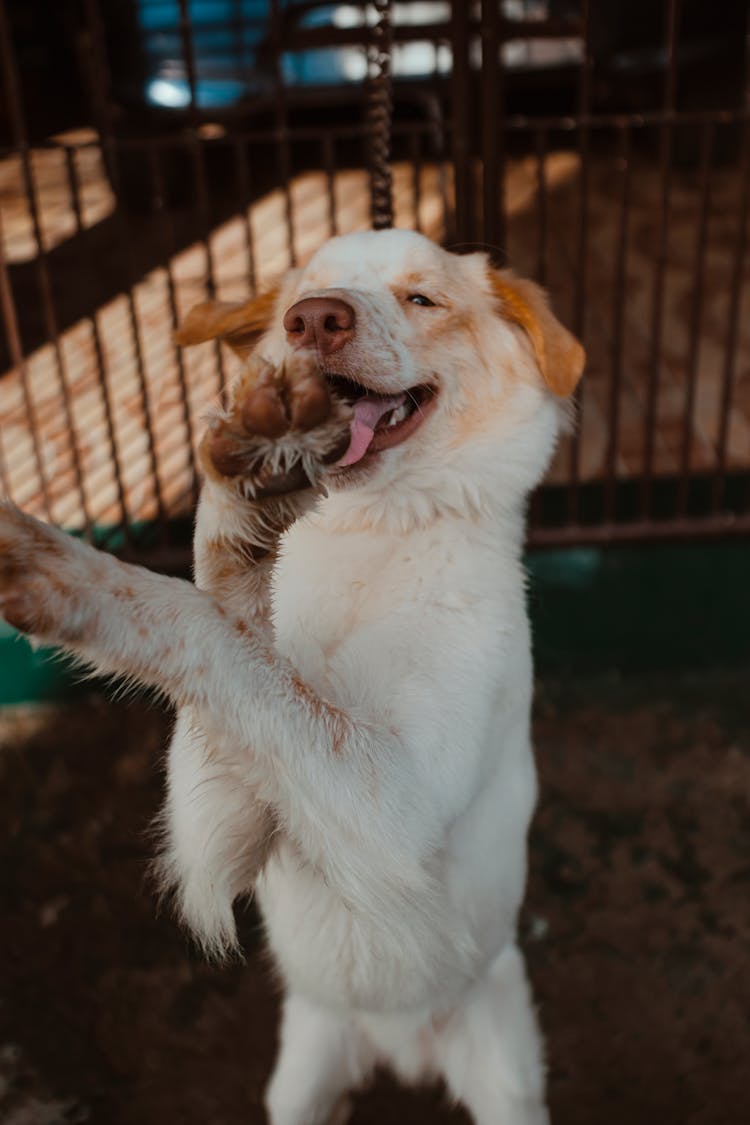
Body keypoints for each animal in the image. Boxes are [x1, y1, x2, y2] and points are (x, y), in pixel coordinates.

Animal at [0, 230, 584, 1125]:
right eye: (298, 299)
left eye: (422, 298)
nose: (314, 320)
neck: (369, 538)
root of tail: (397, 1044)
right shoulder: (225, 824)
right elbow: (236, 623)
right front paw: (252, 484)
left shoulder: (395, 809)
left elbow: (207, 629)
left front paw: (66, 571)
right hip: (301, 1075)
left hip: (507, 1070)